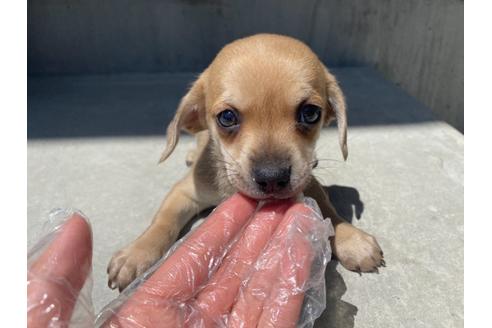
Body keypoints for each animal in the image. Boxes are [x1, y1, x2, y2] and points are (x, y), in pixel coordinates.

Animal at [107, 34, 384, 292]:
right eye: (227, 117)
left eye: (310, 113)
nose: (272, 177)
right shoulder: (185, 192)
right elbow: (162, 222)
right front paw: (137, 253)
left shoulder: (309, 182)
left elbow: (327, 208)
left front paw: (350, 237)